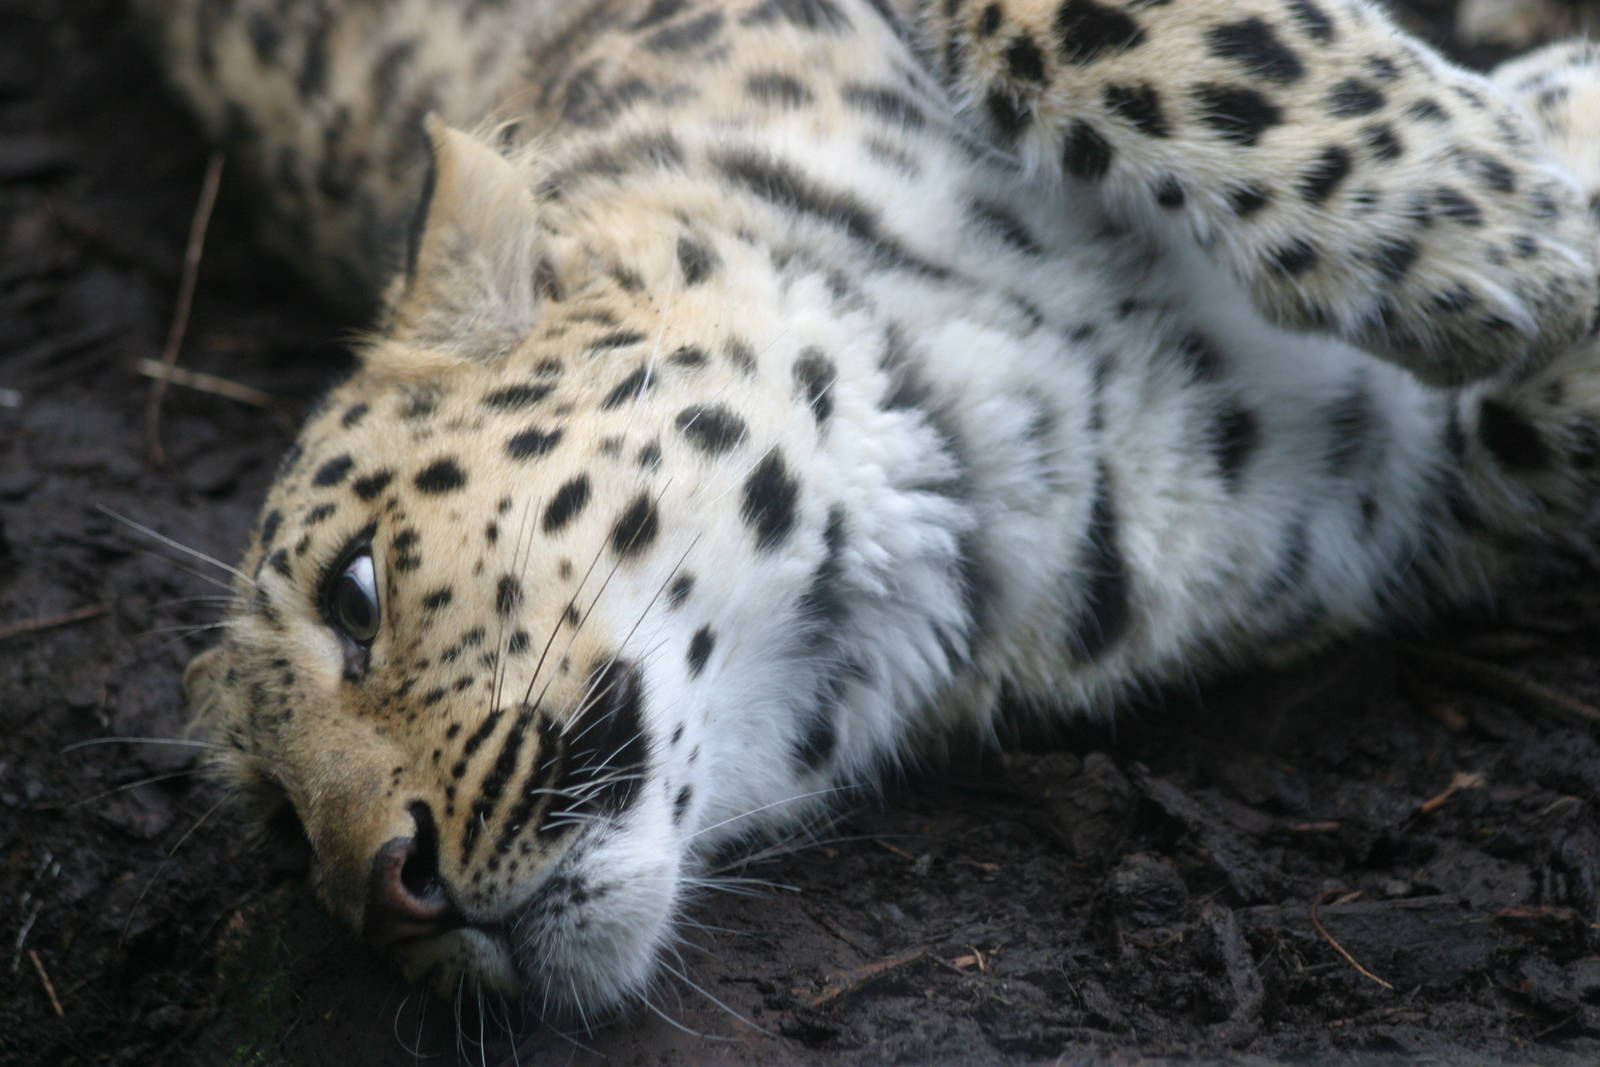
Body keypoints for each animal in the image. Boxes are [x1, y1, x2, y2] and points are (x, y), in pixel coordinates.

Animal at [142, 0, 1600, 1026]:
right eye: (280, 822)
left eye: (357, 592)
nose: (390, 894)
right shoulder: (1385, 470)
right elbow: (1550, 416)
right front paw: (1540, 207)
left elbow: (1114, 23)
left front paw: (1496, 224)